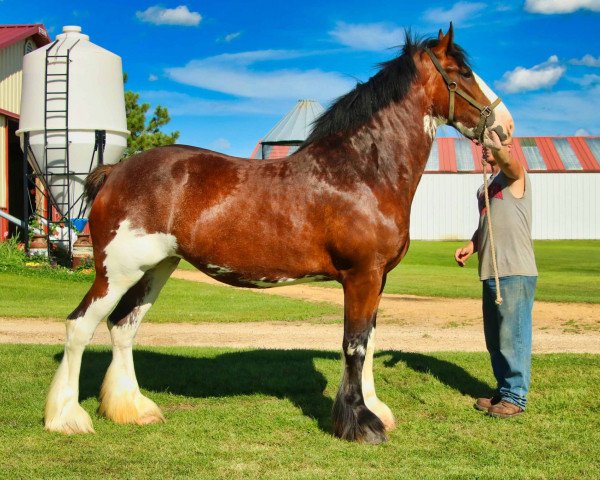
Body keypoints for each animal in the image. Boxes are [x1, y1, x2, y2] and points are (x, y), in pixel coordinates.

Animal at [44, 26, 512, 442]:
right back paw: (67, 418)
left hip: (156, 268)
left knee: (123, 328)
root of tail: (115, 171)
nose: (504, 128)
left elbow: (370, 341)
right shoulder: (361, 276)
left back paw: (133, 409)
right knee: (79, 327)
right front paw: (360, 424)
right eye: (463, 72)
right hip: (117, 272)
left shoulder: (377, 278)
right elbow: (355, 345)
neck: (361, 171)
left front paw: (375, 410)